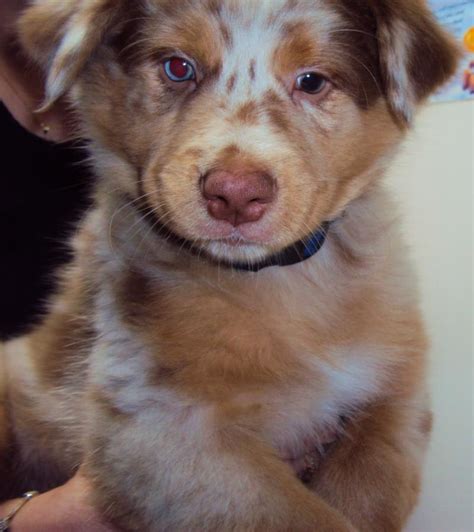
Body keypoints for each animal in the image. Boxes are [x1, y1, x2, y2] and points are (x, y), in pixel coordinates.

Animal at [0, 0, 460, 528]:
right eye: (178, 67)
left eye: (312, 81)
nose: (235, 195)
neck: (282, 280)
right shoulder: (162, 426)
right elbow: (305, 517)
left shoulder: (396, 397)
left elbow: (368, 493)